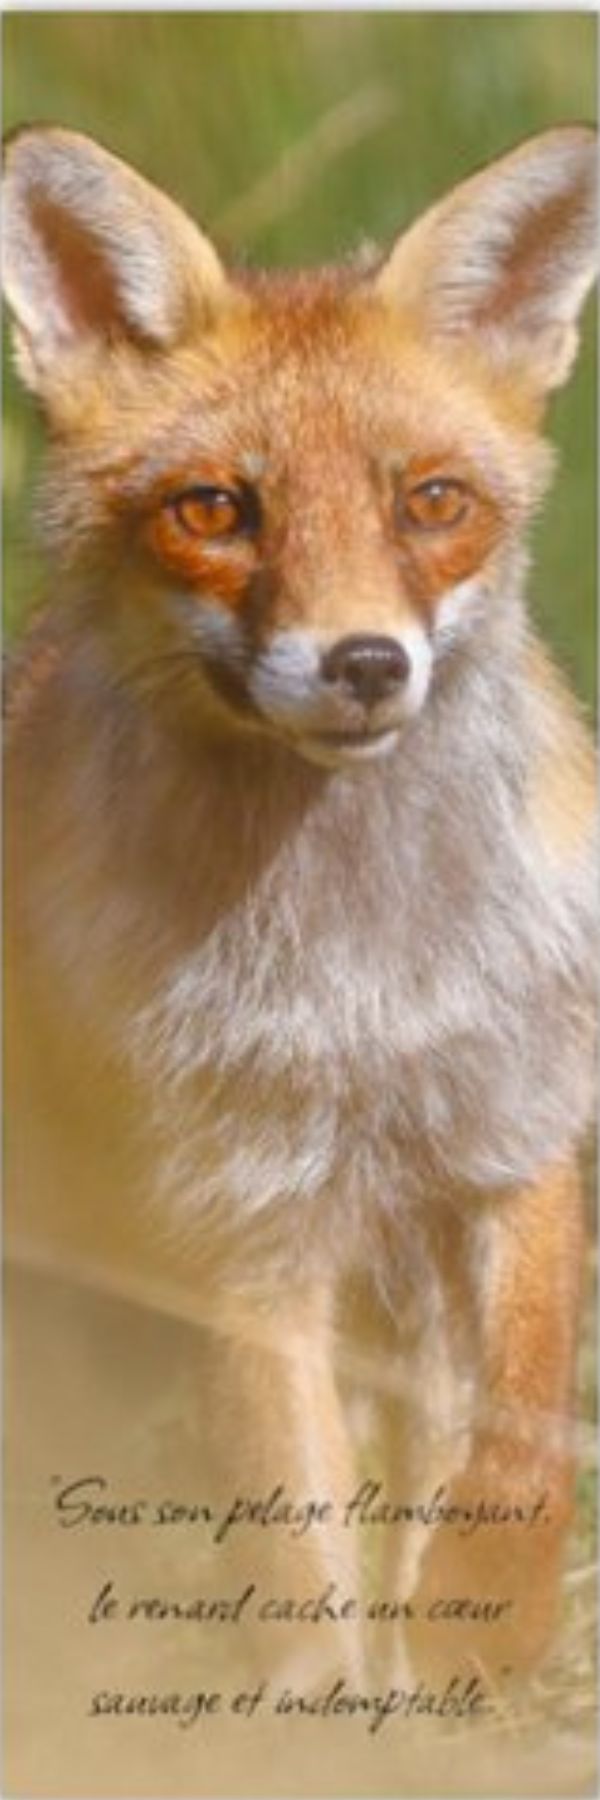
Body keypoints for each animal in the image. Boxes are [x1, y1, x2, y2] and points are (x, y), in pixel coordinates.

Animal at [2, 122, 597, 1699]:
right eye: (217, 509)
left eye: (432, 502)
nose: (367, 663)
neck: (361, 986)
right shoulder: (243, 1222)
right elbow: (292, 1552)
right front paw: (319, 1714)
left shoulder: (515, 1142)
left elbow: (520, 1444)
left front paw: (487, 1622)